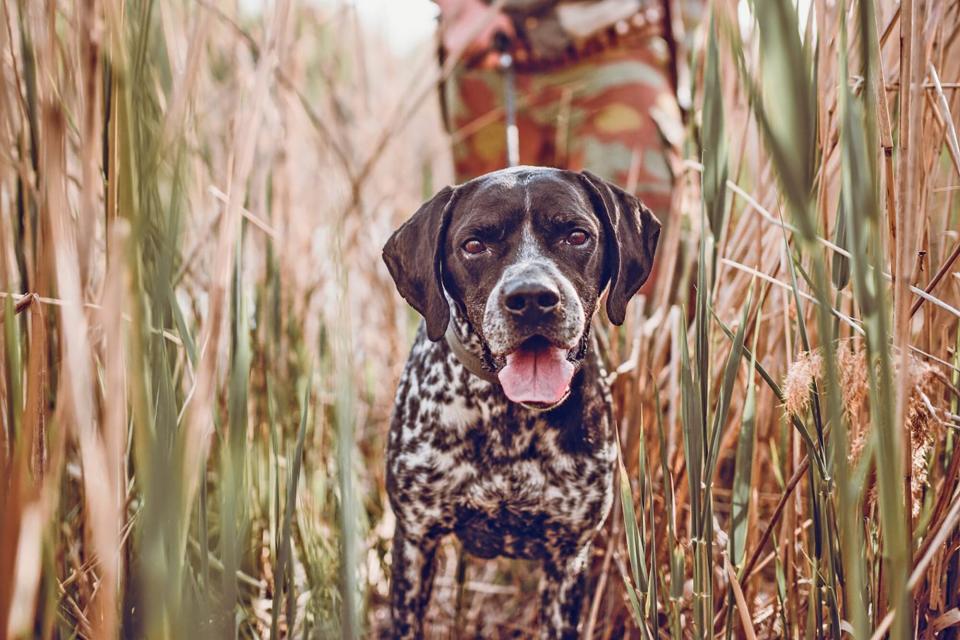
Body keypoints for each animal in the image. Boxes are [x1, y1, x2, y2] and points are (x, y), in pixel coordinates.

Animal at [382, 168, 660, 636]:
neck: (508, 420)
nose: (531, 297)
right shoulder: (416, 540)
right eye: (474, 244)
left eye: (577, 235)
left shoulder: (568, 557)